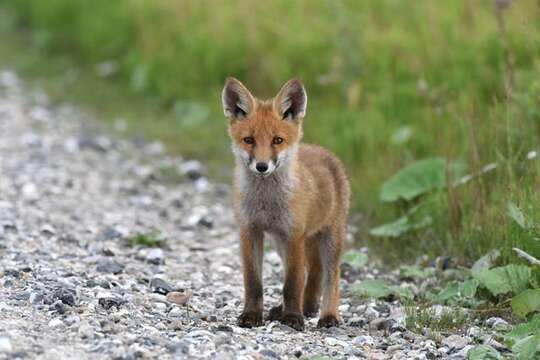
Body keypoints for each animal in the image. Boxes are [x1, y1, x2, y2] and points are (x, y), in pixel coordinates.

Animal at [221, 77, 352, 330]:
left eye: (277, 140)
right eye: (249, 140)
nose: (262, 166)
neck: (266, 202)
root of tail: (323, 150)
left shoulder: (293, 234)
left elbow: (291, 284)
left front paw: (292, 318)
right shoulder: (249, 231)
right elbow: (253, 282)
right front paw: (252, 314)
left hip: (329, 237)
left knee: (330, 276)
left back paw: (327, 315)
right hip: (281, 242)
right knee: (311, 273)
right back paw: (302, 307)